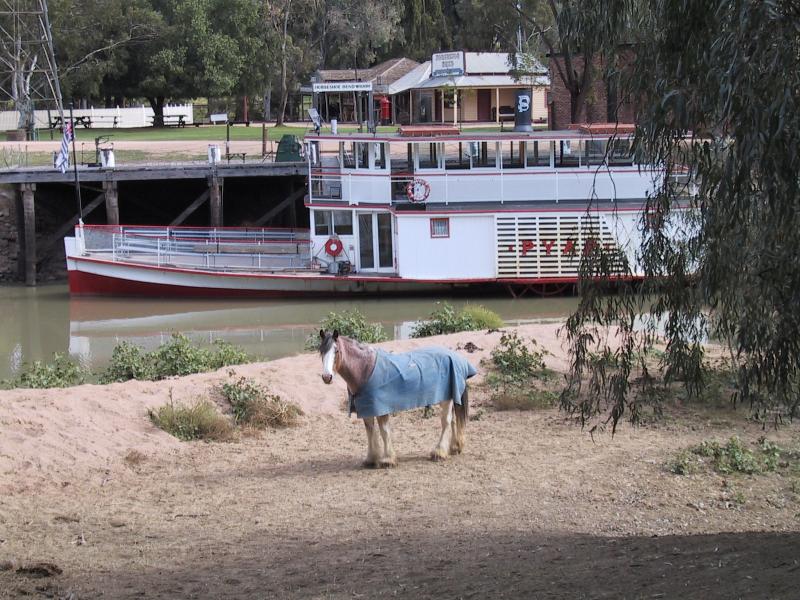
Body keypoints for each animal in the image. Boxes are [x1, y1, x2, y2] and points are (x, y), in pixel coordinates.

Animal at [318, 330, 477, 468]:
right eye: (321, 351)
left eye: (336, 351)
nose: (327, 377)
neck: (365, 369)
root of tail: (456, 357)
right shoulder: (367, 408)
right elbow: (370, 430)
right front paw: (371, 459)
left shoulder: (381, 408)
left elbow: (384, 431)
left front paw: (388, 459)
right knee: (454, 420)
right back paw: (454, 447)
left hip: (446, 399)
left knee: (446, 422)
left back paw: (439, 452)